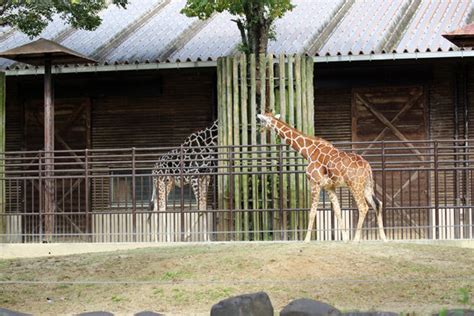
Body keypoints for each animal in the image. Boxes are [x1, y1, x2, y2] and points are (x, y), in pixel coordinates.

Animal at [258, 111, 386, 242]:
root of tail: (367, 167)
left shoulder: (315, 182)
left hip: (355, 185)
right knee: (378, 204)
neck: (308, 151)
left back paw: (356, 239)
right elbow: (337, 210)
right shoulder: (329, 187)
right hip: (367, 185)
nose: (260, 130)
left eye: (262, 120)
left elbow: (312, 212)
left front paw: (306, 239)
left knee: (363, 207)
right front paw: (345, 238)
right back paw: (384, 238)